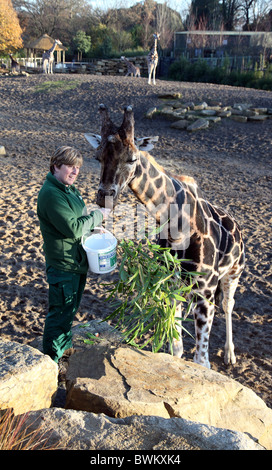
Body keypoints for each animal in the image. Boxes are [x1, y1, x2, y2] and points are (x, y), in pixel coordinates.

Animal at [84, 104, 244, 370]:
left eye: (132, 158)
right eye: (97, 157)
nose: (104, 197)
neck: (177, 228)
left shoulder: (205, 291)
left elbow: (201, 362)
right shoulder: (168, 285)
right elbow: (175, 348)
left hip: (234, 272)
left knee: (228, 305)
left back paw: (230, 354)